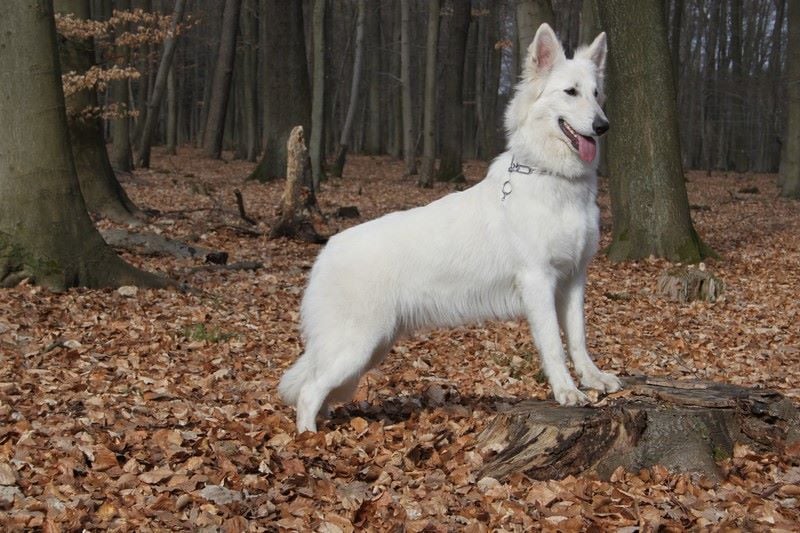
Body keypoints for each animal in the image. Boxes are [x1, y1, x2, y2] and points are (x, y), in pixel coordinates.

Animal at [278, 25, 620, 432]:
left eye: (597, 94)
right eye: (570, 92)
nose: (602, 126)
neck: (552, 177)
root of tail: (326, 251)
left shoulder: (573, 280)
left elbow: (579, 338)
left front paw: (592, 378)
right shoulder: (539, 282)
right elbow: (554, 343)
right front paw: (566, 391)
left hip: (372, 347)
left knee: (321, 392)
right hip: (356, 345)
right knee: (308, 392)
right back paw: (309, 439)